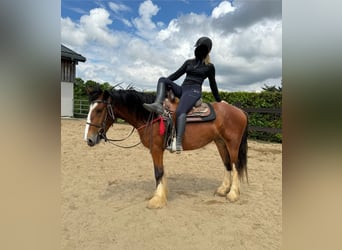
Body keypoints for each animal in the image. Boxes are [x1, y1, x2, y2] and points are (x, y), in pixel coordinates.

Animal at [84, 86, 247, 209]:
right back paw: (223, 189)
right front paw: (160, 194)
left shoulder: (156, 149)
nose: (89, 139)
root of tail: (240, 111)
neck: (152, 116)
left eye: (99, 110)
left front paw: (157, 199)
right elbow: (160, 173)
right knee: (227, 164)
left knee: (236, 165)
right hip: (220, 143)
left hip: (232, 144)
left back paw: (232, 194)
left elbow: (158, 172)